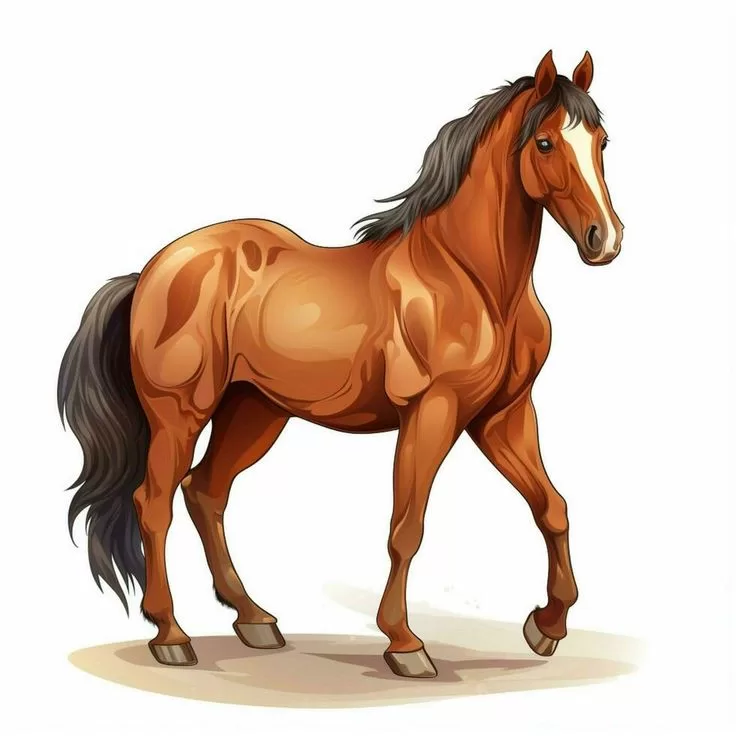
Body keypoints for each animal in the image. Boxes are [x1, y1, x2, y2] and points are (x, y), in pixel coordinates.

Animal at [58, 50, 623, 679]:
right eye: (545, 142)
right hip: (179, 415)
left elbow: (553, 508)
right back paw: (171, 636)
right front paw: (405, 645)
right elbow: (407, 527)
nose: (604, 239)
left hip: (255, 412)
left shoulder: (503, 415)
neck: (469, 280)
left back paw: (255, 620)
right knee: (153, 504)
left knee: (205, 491)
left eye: (601, 140)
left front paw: (546, 627)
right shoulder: (431, 413)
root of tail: (152, 270)